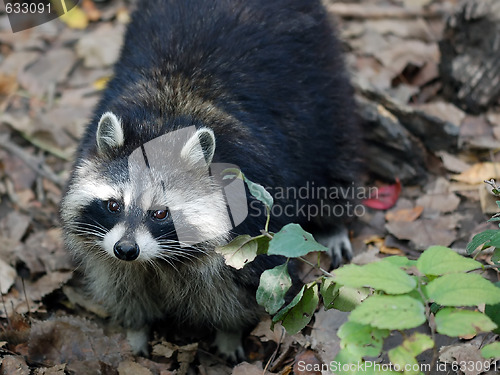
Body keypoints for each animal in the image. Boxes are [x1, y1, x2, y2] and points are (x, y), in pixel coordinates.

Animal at [60, 0, 360, 360]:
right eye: (114, 205)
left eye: (160, 213)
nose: (126, 249)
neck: (162, 122)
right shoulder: (109, 250)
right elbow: (121, 283)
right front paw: (136, 329)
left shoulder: (251, 221)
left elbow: (244, 287)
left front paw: (230, 333)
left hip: (323, 82)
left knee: (335, 153)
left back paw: (334, 222)